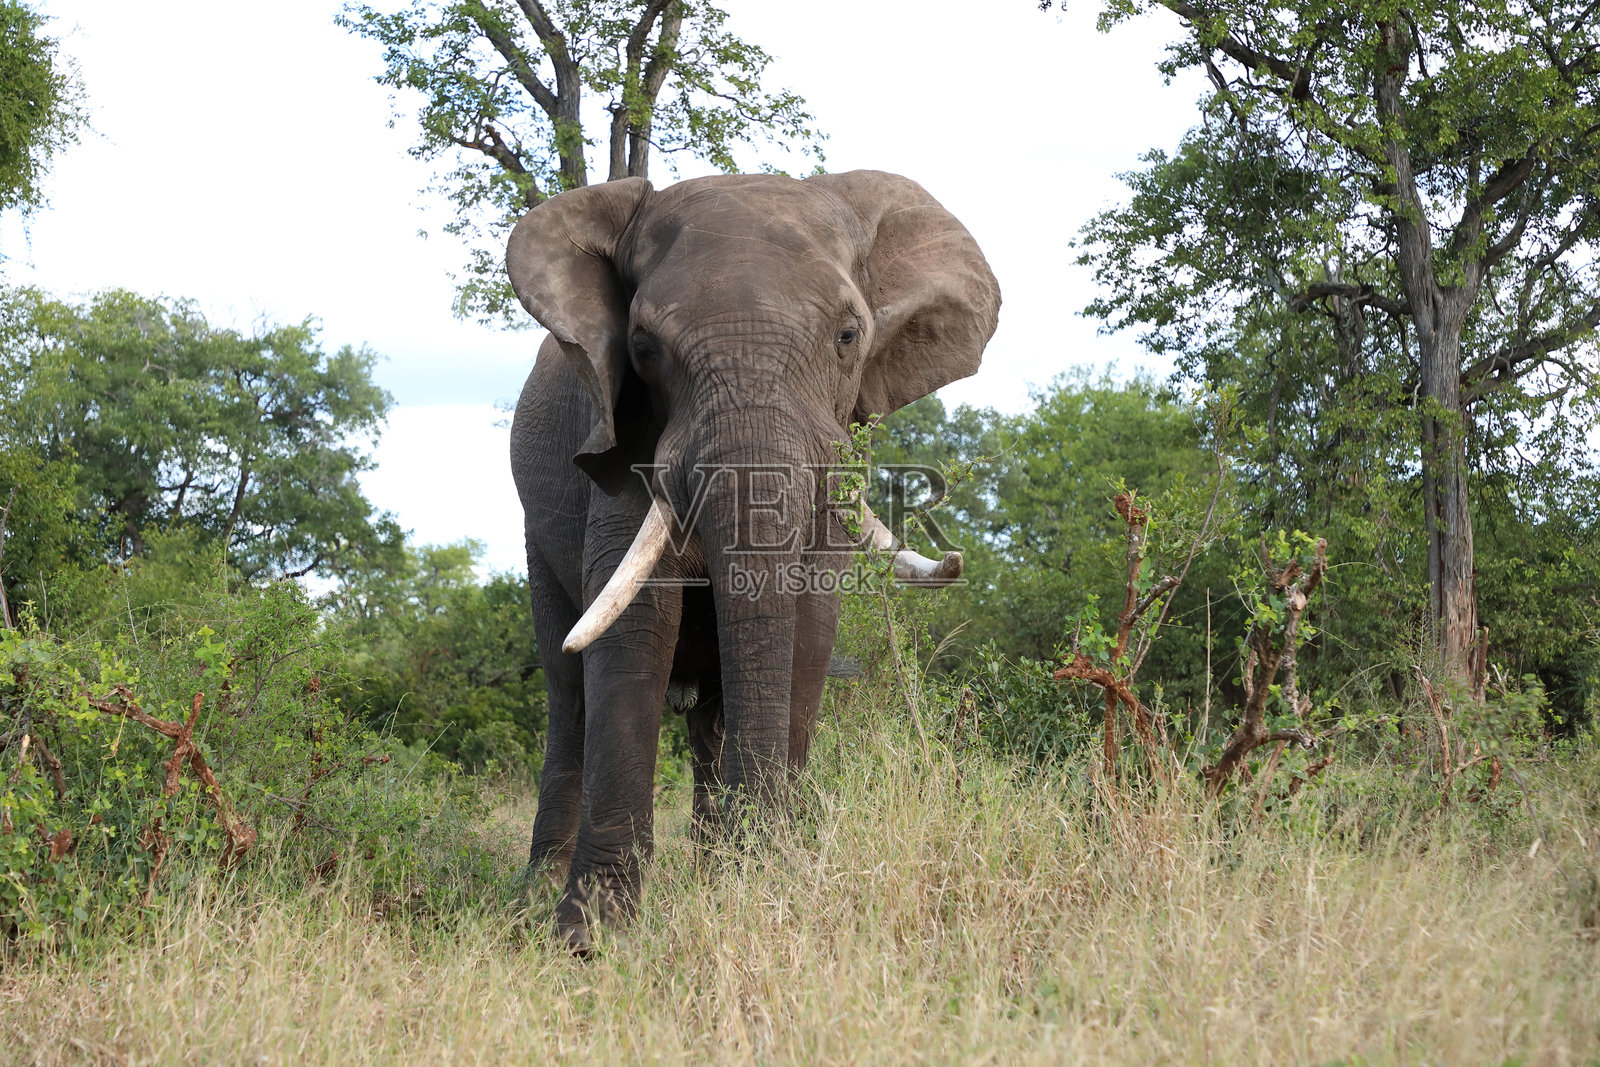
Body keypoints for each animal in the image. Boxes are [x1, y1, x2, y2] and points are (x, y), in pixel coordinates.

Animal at [506, 169, 1000, 949]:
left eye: (849, 335)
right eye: (642, 344)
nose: (764, 866)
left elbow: (810, 624)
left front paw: (760, 889)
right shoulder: (622, 441)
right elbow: (634, 627)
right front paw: (590, 940)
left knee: (706, 715)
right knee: (568, 688)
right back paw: (535, 895)